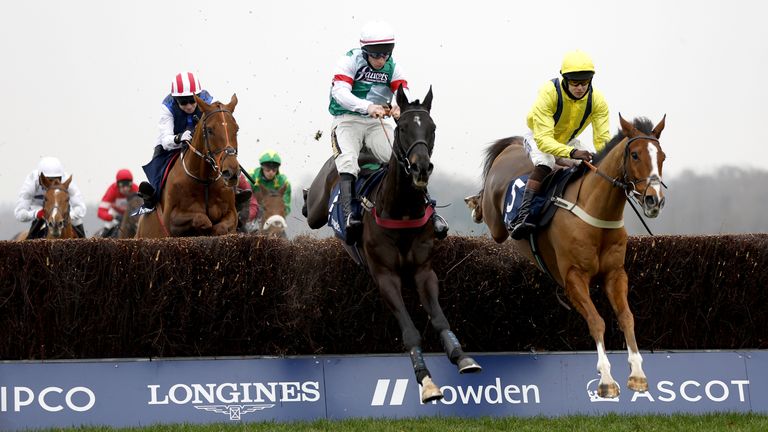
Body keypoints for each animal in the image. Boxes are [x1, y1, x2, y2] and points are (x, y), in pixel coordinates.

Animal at [136, 94, 240, 238]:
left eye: (236, 129)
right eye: (210, 130)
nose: (231, 172)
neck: (204, 181)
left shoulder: (232, 213)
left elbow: (221, 227)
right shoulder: (170, 221)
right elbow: (202, 219)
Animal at [306, 86, 480, 404]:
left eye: (432, 128)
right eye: (402, 127)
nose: (421, 168)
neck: (401, 211)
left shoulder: (424, 271)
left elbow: (440, 319)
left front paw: (461, 356)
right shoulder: (385, 276)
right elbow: (410, 331)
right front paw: (426, 381)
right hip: (317, 206)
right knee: (319, 194)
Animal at [464, 115, 668, 398]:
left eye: (663, 156)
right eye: (635, 155)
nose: (654, 201)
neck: (596, 212)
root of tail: (513, 147)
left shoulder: (615, 274)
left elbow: (627, 317)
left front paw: (637, 375)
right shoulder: (573, 279)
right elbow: (596, 321)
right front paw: (606, 380)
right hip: (497, 226)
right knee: (489, 207)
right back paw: (474, 203)